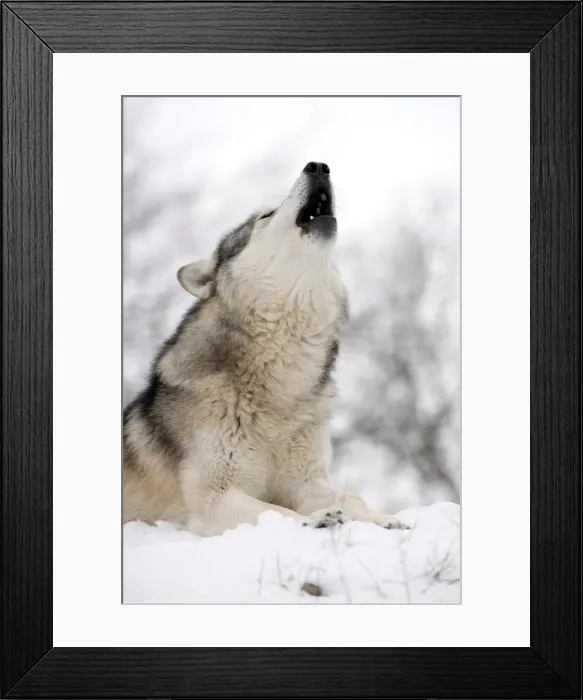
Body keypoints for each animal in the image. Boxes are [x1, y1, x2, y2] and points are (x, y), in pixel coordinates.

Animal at [123, 162, 408, 536]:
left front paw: (386, 519)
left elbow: (353, 499)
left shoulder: (305, 481)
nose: (318, 166)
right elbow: (276, 512)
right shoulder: (215, 498)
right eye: (266, 216)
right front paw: (319, 519)